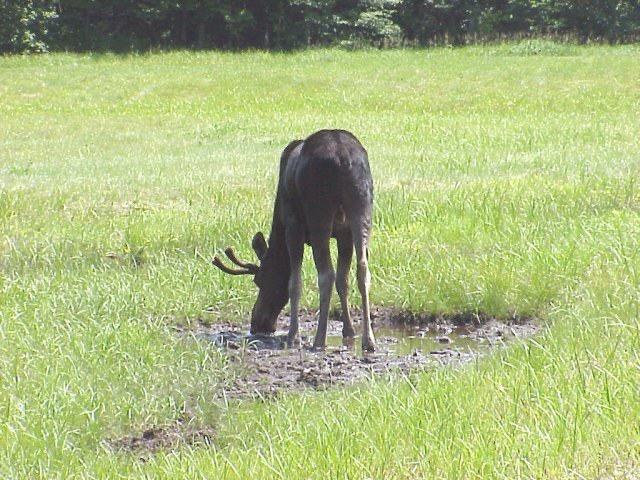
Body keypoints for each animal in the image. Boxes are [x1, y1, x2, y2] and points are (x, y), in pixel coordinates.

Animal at [212, 129, 378, 350]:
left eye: (260, 280)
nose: (258, 324)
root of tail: (343, 158)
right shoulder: (344, 234)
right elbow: (343, 281)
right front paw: (349, 331)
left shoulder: (292, 226)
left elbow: (295, 282)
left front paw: (293, 336)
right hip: (361, 207)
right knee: (362, 268)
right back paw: (369, 340)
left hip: (319, 214)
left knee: (326, 275)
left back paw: (319, 340)